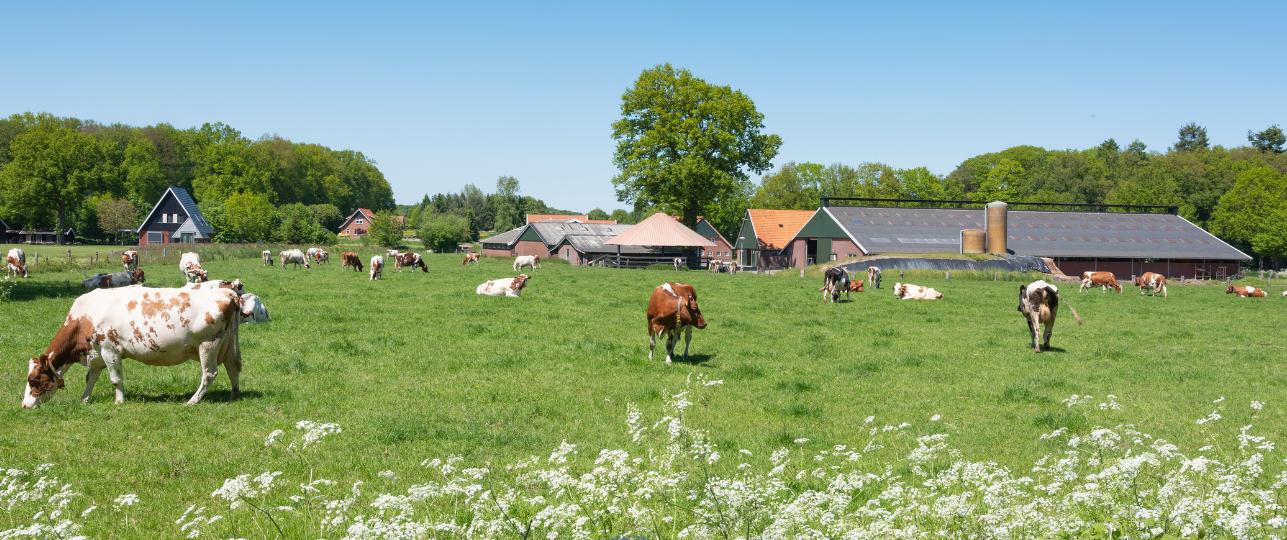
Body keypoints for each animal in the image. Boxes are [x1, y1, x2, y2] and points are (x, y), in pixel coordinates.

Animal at [22, 286, 247, 408]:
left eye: (33, 380)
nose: (24, 405)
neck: (85, 316)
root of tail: (227, 292)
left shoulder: (110, 350)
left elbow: (115, 379)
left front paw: (119, 401)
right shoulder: (96, 353)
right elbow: (91, 378)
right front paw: (84, 399)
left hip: (208, 344)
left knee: (209, 374)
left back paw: (193, 401)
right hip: (227, 346)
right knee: (233, 368)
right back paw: (234, 396)